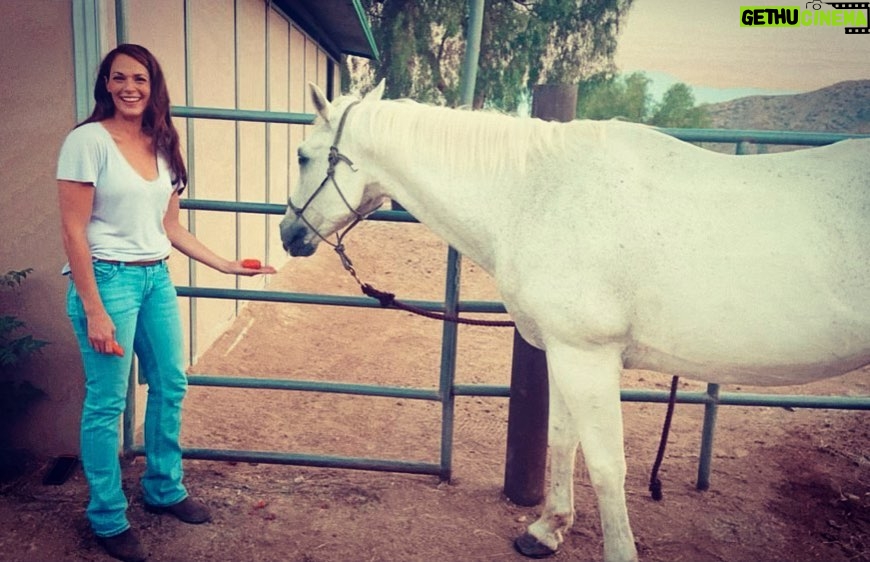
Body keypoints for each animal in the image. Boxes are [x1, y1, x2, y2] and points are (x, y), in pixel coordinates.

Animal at [280, 82, 870, 560]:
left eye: (304, 156)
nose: (289, 233)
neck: (537, 194)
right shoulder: (564, 352)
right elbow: (563, 440)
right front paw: (547, 530)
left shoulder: (587, 358)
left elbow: (608, 467)